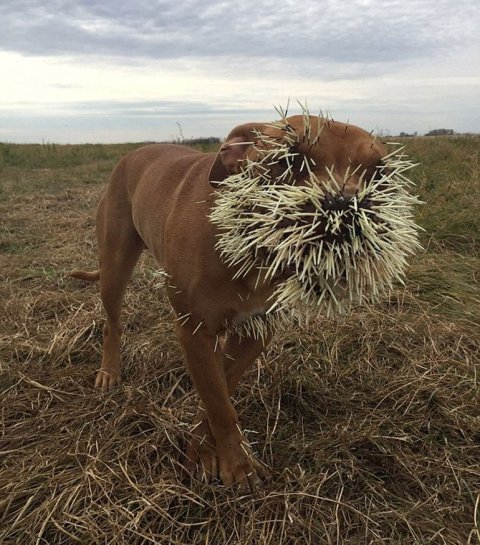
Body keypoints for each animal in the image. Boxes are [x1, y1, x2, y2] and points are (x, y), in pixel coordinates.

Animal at [72, 115, 386, 488]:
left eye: (379, 172)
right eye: (290, 159)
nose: (345, 208)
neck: (253, 249)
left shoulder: (255, 331)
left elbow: (220, 390)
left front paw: (204, 449)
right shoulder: (195, 331)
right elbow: (219, 402)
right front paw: (237, 465)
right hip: (114, 265)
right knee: (113, 322)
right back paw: (109, 371)